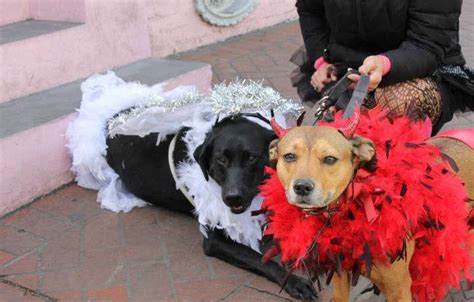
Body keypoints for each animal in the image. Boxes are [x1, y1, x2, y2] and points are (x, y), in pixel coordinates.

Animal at [105, 115, 316, 300]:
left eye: (251, 158)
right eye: (221, 159)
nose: (233, 198)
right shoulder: (214, 239)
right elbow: (261, 260)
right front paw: (294, 281)